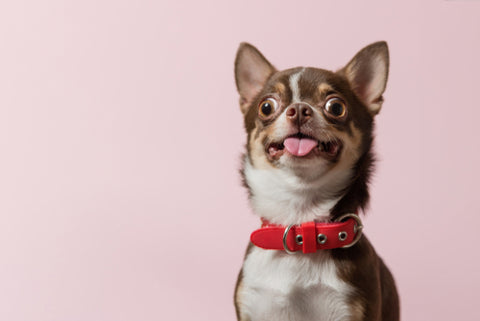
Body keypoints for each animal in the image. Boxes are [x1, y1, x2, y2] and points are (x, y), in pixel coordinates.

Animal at [234, 42, 400, 320]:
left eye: (336, 107)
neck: (300, 224)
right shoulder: (250, 305)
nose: (300, 109)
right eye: (266, 107)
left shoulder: (352, 307)